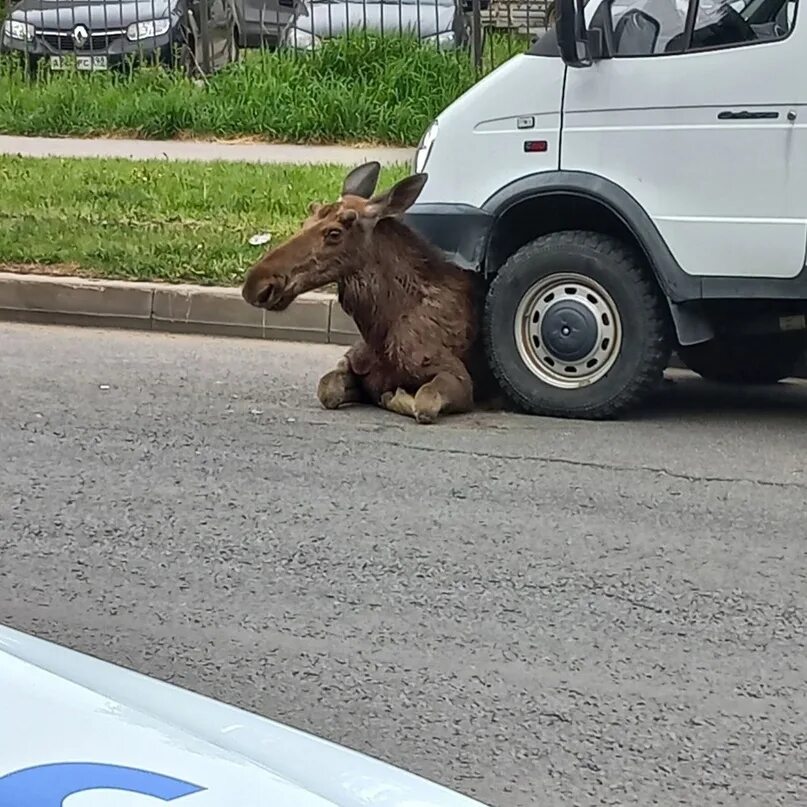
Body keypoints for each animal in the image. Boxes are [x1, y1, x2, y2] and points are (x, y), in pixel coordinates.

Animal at [241, 165, 504, 430]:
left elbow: (424, 402)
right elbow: (327, 389)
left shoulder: (459, 378)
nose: (256, 285)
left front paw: (395, 397)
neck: (379, 329)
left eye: (334, 233)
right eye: (306, 222)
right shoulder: (353, 362)